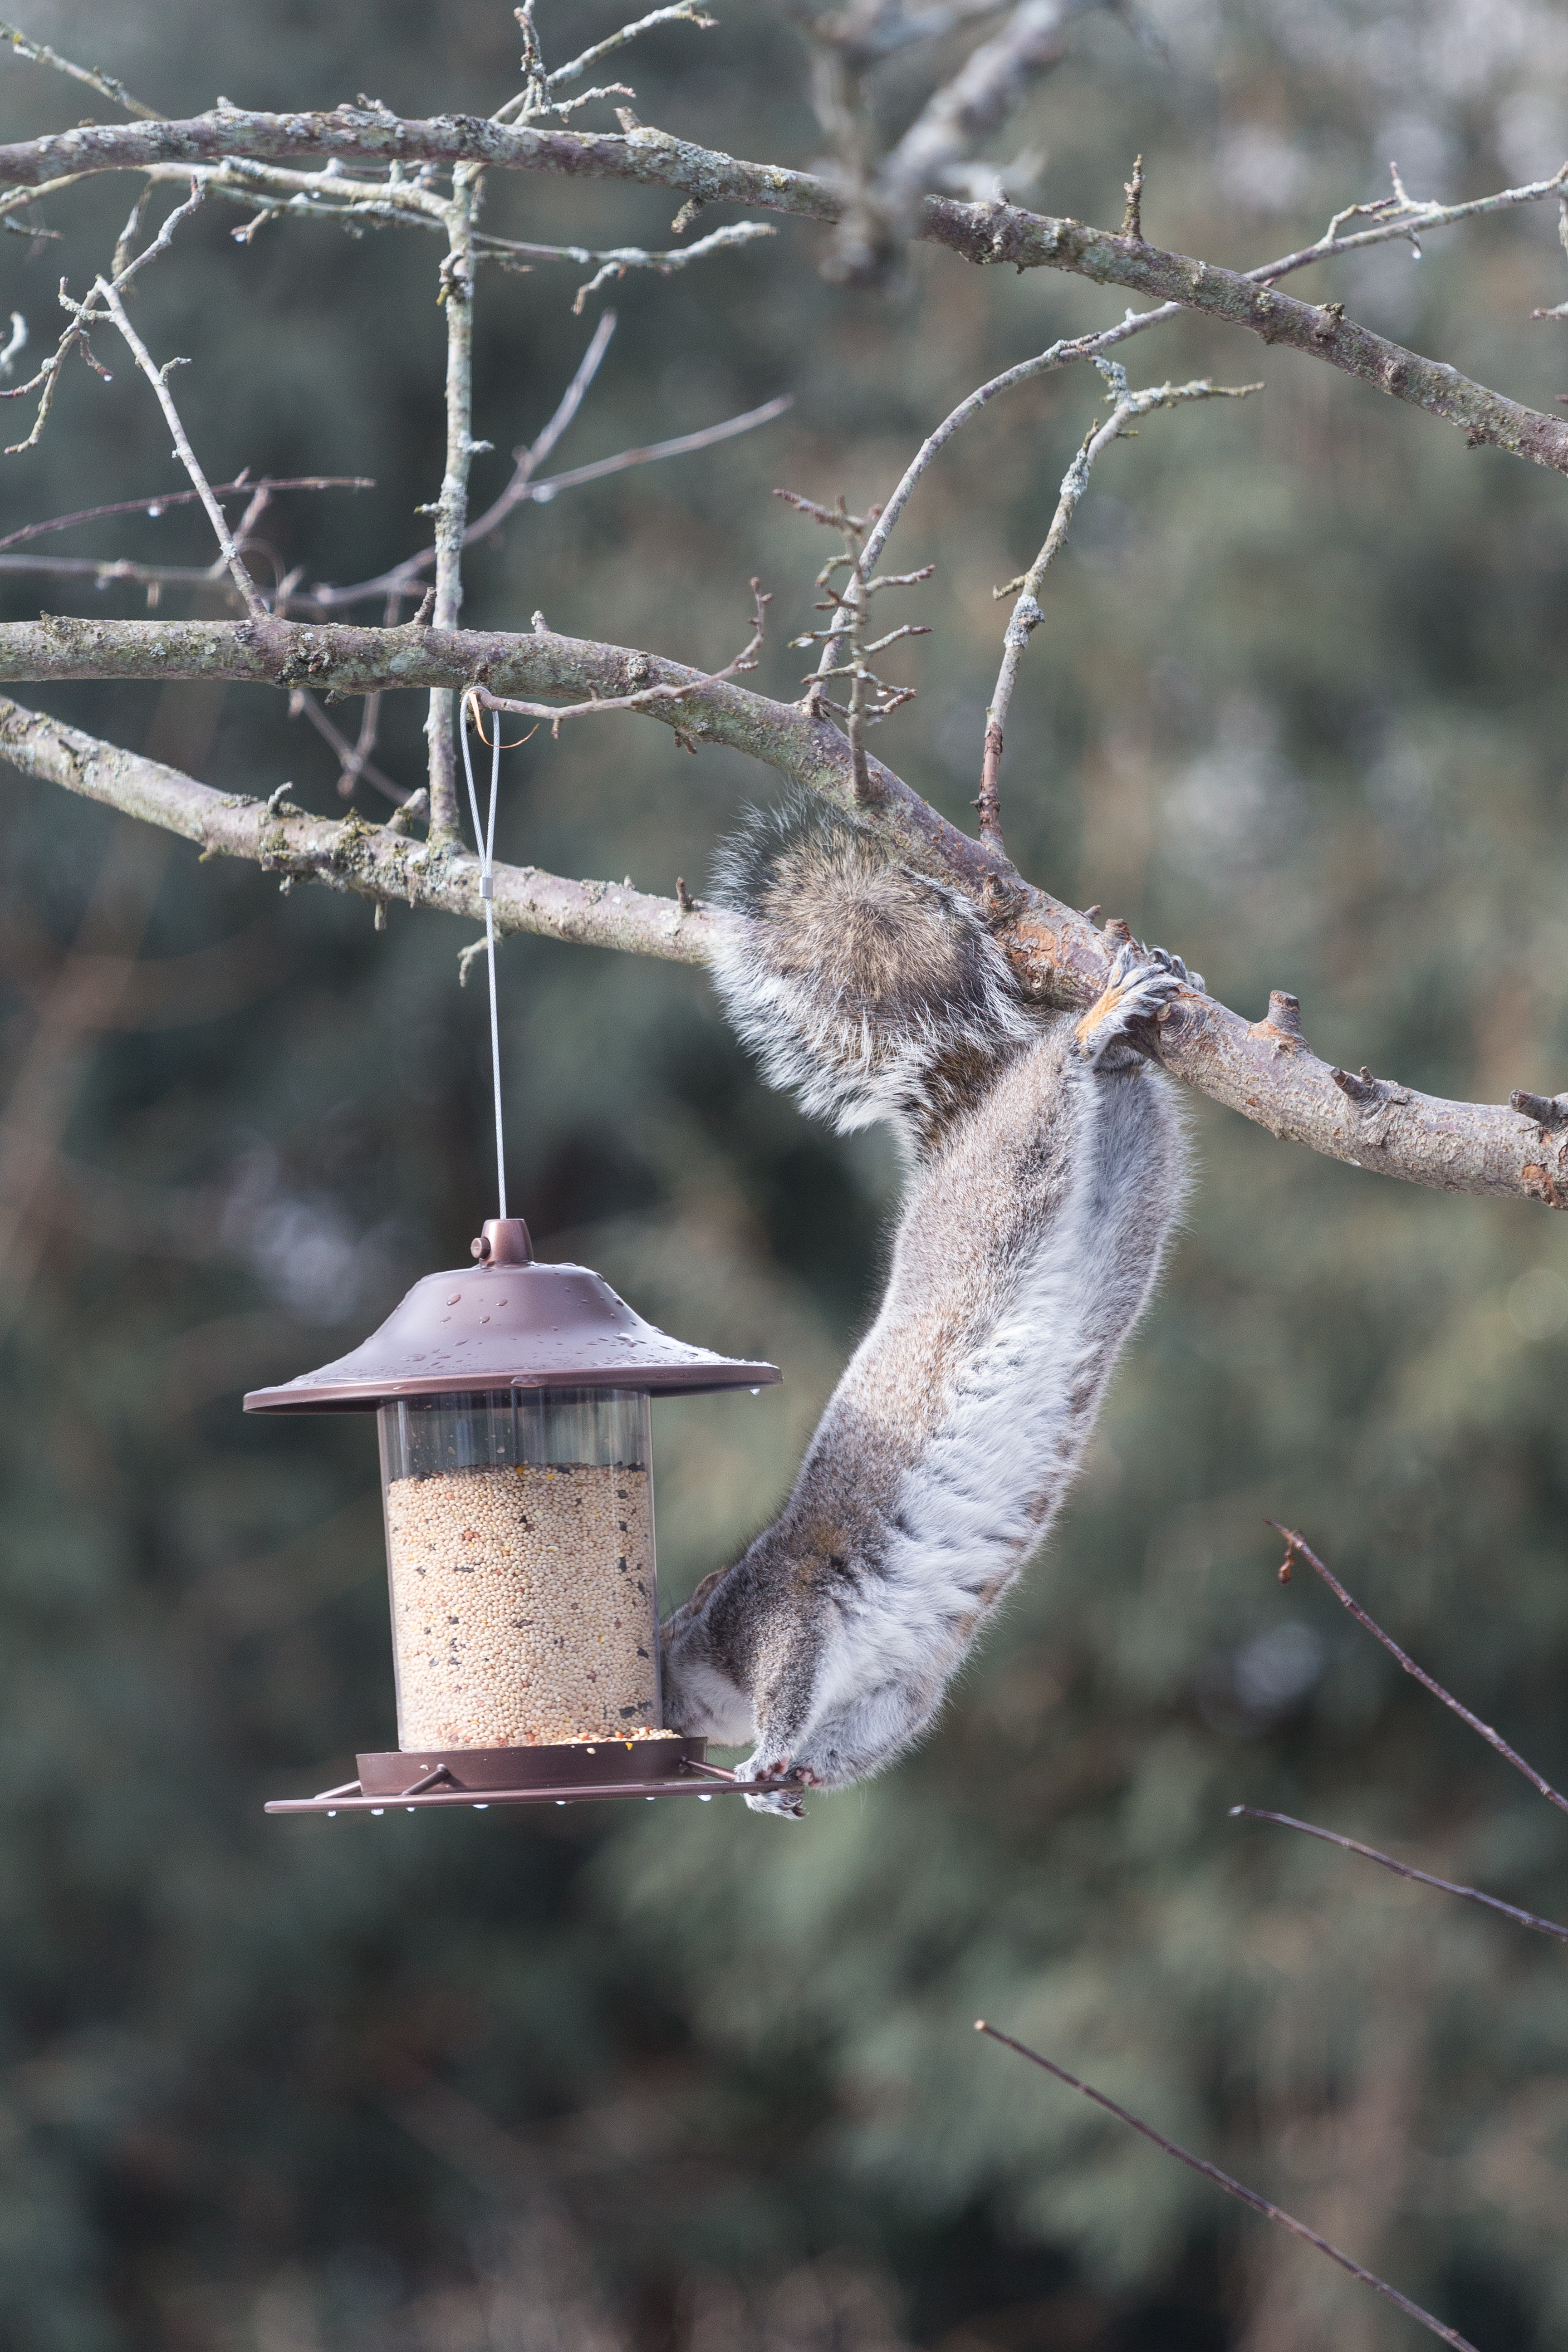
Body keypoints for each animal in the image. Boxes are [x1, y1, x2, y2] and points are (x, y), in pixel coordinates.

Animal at [658, 795, 1189, 1816]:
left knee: (1051, 1086)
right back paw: (1123, 1044)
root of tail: (969, 1124)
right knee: (1126, 1107)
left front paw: (762, 1764)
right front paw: (792, 1781)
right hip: (1131, 1196)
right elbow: (855, 1741)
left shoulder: (784, 1616)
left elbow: (787, 1695)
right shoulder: (893, 1690)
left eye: (659, 1646)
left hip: (1003, 1191)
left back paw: (1094, 1026)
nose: (651, 1727)